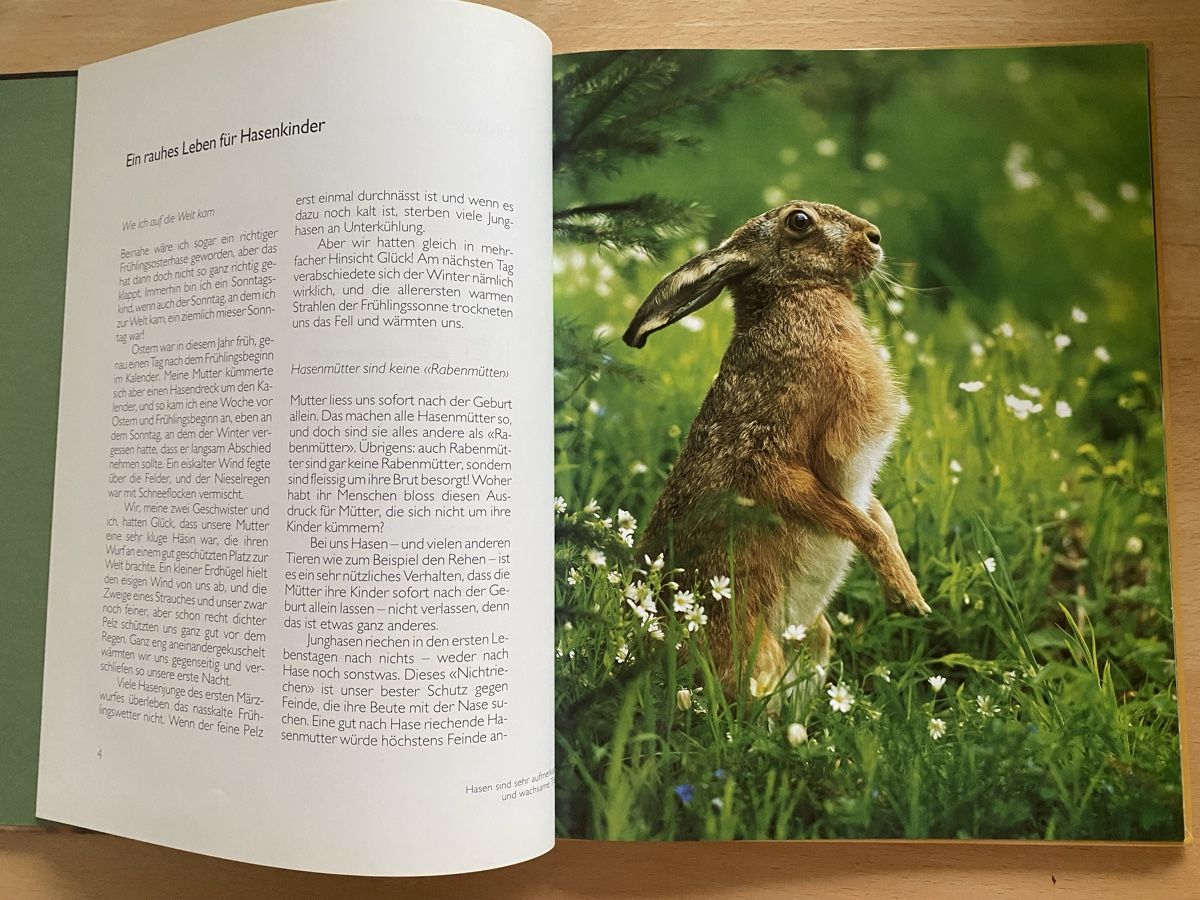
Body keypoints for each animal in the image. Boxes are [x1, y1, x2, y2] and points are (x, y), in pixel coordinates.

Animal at [623, 200, 929, 697]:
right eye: (799, 221)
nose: (875, 236)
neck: (796, 294)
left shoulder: (855, 485)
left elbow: (878, 517)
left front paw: (908, 589)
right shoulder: (771, 458)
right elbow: (861, 526)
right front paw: (906, 597)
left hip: (815, 636)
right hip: (755, 650)